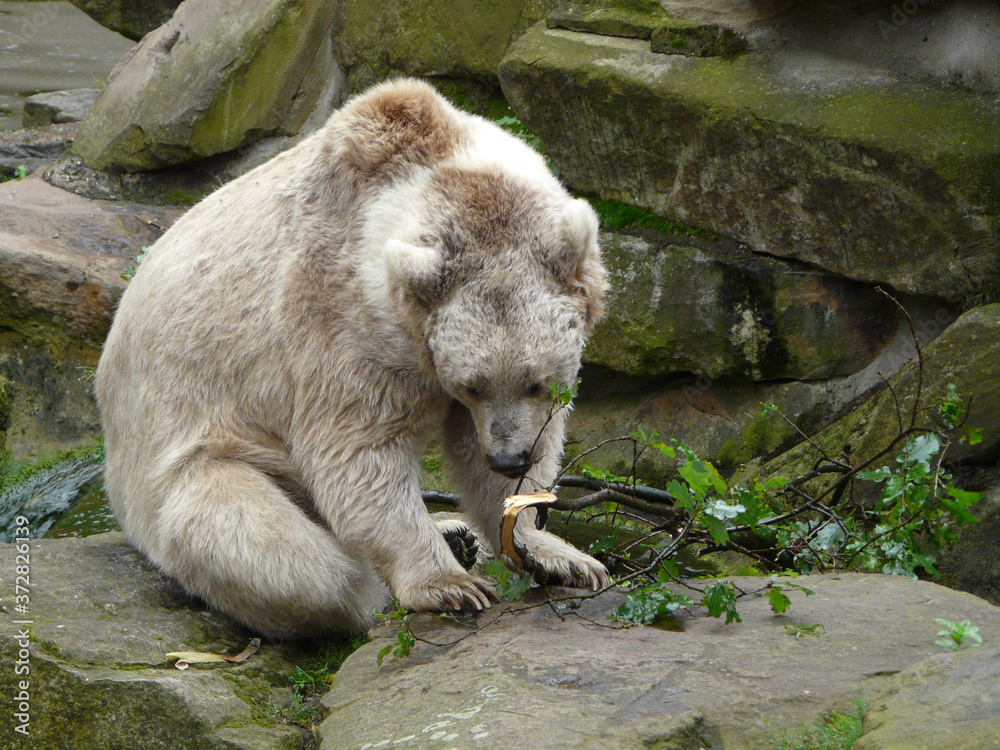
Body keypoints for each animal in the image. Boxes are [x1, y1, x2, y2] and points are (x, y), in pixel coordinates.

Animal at [95, 78, 608, 640]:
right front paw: (450, 586)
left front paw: (555, 553)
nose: (509, 458)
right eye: (471, 384)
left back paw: (455, 532)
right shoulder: (339, 316)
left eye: (538, 382)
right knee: (272, 550)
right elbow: (358, 451)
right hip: (187, 455)